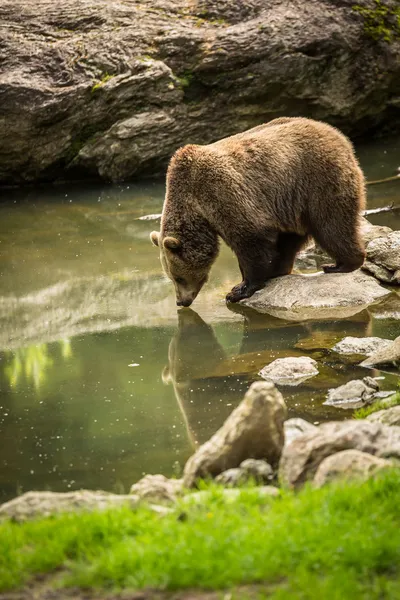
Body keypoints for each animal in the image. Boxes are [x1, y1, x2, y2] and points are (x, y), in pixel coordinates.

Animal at [150, 116, 366, 308]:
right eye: (171, 277)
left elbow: (250, 239)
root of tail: (337, 135)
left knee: (332, 225)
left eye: (178, 277)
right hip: (292, 203)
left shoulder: (222, 191)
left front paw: (239, 289)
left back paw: (340, 264)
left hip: (318, 180)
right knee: (291, 238)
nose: (181, 302)